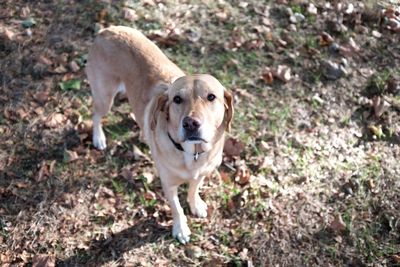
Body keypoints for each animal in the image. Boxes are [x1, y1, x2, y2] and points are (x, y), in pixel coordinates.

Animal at [86, 25, 233, 245]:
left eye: (211, 97)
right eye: (177, 99)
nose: (190, 123)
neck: (192, 153)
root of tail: (107, 30)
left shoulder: (202, 173)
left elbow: (193, 189)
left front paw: (195, 204)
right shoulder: (168, 184)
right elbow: (177, 208)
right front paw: (181, 229)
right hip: (105, 97)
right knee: (96, 115)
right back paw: (99, 138)